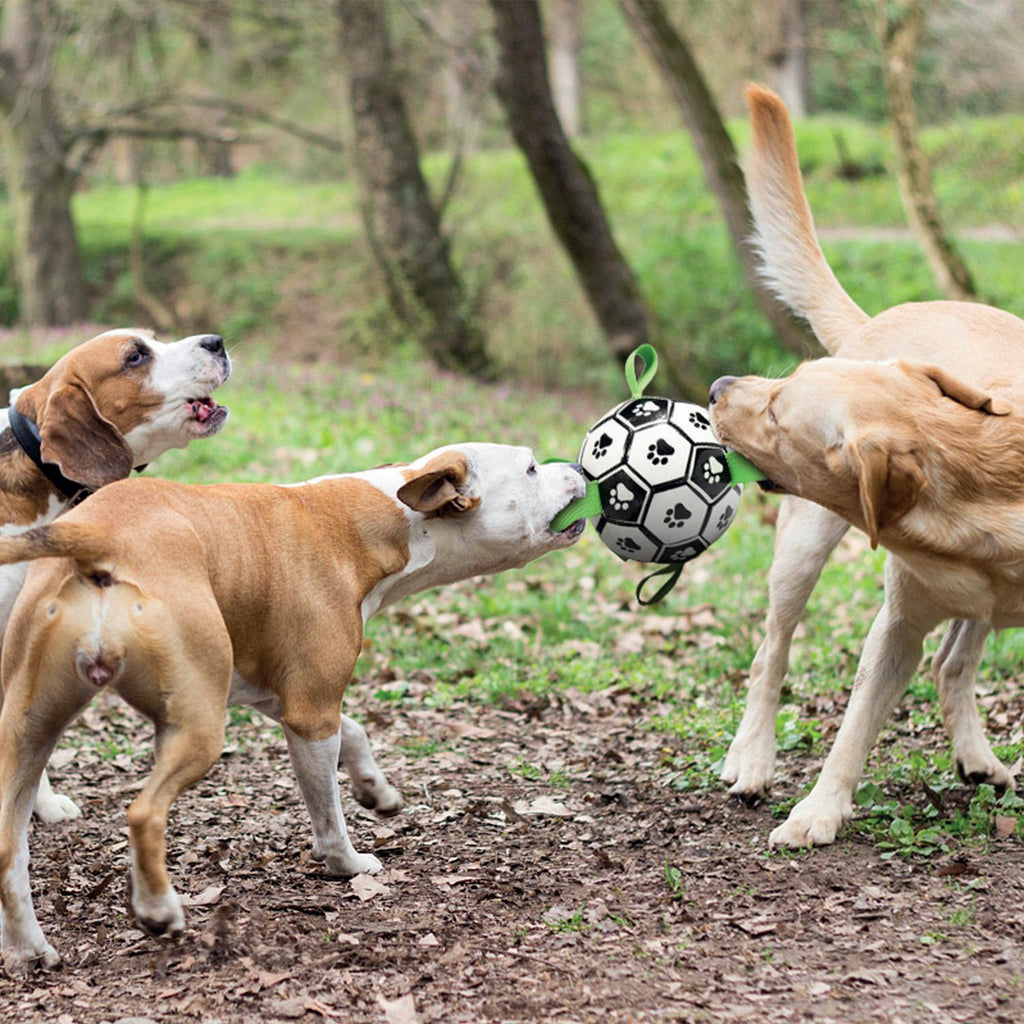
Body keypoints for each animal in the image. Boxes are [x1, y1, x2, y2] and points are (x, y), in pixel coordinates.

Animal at [0, 444, 585, 970]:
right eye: (532, 468)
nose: (579, 470)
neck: (381, 520)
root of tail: (100, 534)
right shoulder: (310, 715)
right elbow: (328, 813)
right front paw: (348, 864)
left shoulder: (283, 697)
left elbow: (356, 731)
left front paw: (376, 789)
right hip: (196, 727)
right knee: (144, 812)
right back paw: (158, 909)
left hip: (29, 730)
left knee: (10, 845)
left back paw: (30, 950)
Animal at [716, 86, 1024, 831]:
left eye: (778, 411)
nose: (717, 387)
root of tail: (877, 321)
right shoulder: (896, 626)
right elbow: (854, 728)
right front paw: (817, 815)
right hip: (800, 552)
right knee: (770, 654)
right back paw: (752, 761)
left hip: (975, 610)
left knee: (953, 665)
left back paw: (978, 758)